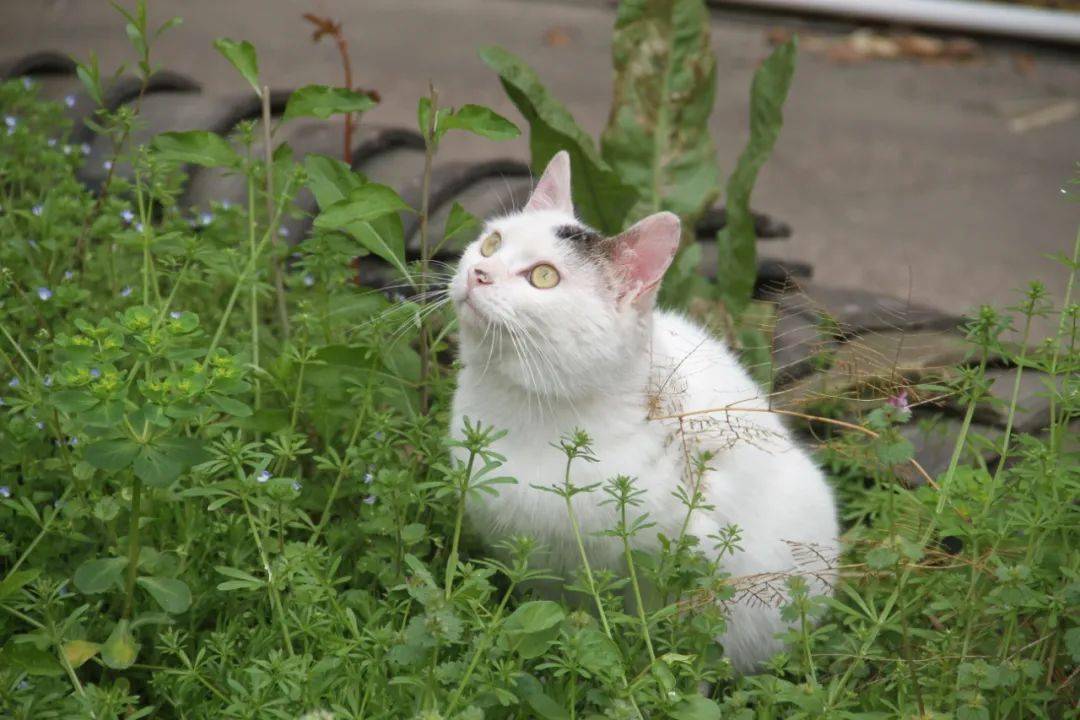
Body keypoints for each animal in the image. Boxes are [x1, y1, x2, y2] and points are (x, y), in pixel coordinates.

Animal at [447, 152, 833, 677]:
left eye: (544, 277)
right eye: (491, 242)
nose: (479, 274)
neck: (522, 403)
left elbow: (672, 634)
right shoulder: (530, 559)